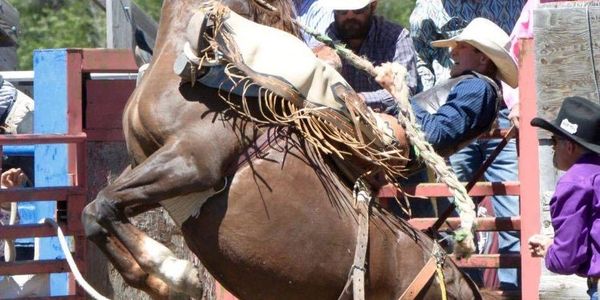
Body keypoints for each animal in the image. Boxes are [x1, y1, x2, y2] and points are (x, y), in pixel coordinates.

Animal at [84, 0, 486, 298]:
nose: (298, 34)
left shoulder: (193, 164)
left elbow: (104, 204)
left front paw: (176, 272)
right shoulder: (152, 171)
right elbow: (97, 212)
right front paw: (164, 282)